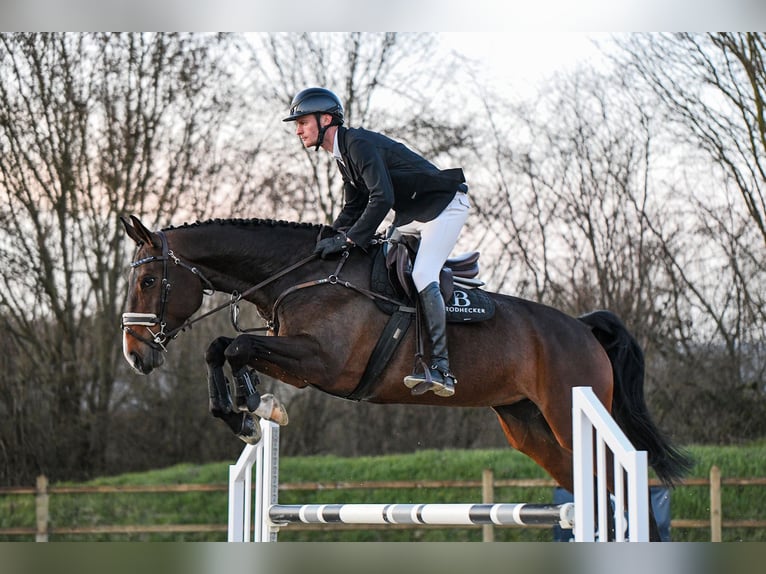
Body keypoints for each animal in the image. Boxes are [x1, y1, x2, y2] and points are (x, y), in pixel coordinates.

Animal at [120, 215, 692, 541]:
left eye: (148, 280)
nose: (135, 356)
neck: (304, 276)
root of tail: (583, 327)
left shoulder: (322, 364)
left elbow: (236, 345)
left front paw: (254, 409)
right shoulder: (300, 365)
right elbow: (222, 347)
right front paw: (245, 412)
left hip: (570, 412)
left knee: (622, 494)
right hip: (529, 427)